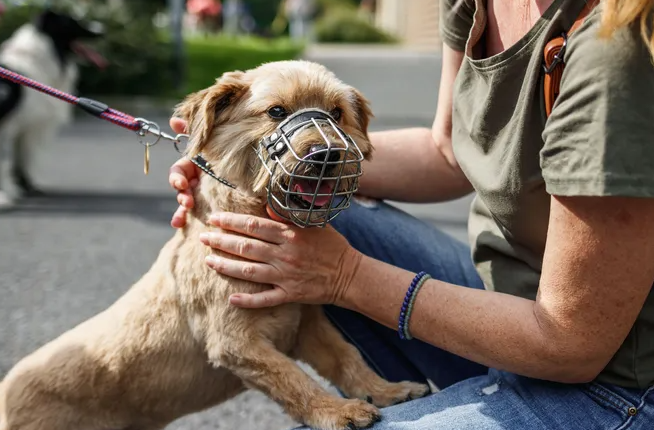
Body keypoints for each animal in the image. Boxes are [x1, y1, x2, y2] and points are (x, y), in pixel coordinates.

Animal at [0, 6, 104, 208]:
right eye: (72, 22)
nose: (102, 29)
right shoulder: (15, 126)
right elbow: (16, 160)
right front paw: (8, 196)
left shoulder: (24, 125)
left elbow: (22, 160)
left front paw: (25, 188)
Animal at [0, 60, 430, 430]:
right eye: (276, 111)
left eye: (337, 113)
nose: (328, 152)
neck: (254, 217)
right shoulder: (235, 342)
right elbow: (293, 380)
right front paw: (336, 410)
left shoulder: (308, 325)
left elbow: (348, 358)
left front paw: (385, 390)